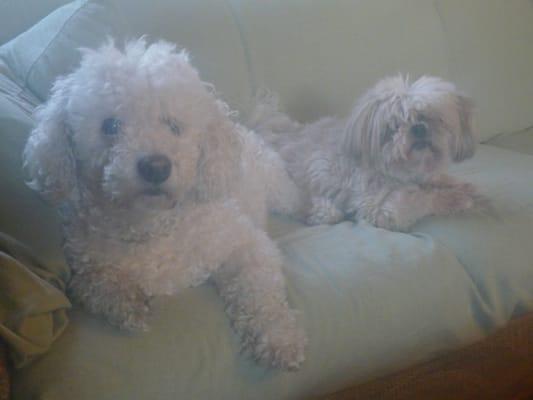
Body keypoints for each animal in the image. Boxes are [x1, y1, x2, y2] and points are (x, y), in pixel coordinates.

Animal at [23, 39, 308, 370]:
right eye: (111, 125)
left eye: (173, 126)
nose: (156, 167)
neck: (151, 226)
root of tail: (247, 129)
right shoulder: (85, 270)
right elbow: (98, 286)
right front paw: (129, 305)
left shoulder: (245, 243)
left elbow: (261, 294)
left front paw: (279, 339)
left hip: (277, 187)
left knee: (296, 199)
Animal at [251, 75, 484, 231]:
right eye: (394, 126)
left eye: (430, 117)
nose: (418, 128)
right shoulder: (381, 208)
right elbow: (423, 198)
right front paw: (455, 199)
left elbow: (436, 180)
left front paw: (459, 184)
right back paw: (322, 212)